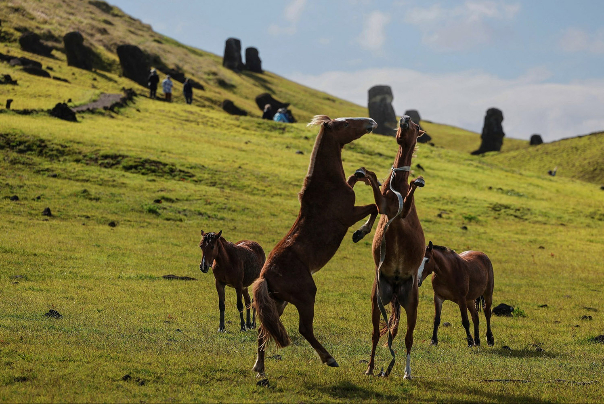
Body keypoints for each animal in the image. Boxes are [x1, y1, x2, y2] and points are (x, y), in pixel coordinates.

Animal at [251, 113, 382, 376]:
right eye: (345, 124)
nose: (370, 121)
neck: (326, 185)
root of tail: (265, 275)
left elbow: (355, 182)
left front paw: (361, 174)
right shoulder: (348, 215)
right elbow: (374, 208)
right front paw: (360, 233)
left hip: (278, 302)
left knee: (264, 330)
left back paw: (260, 367)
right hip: (305, 296)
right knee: (304, 329)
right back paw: (329, 358)